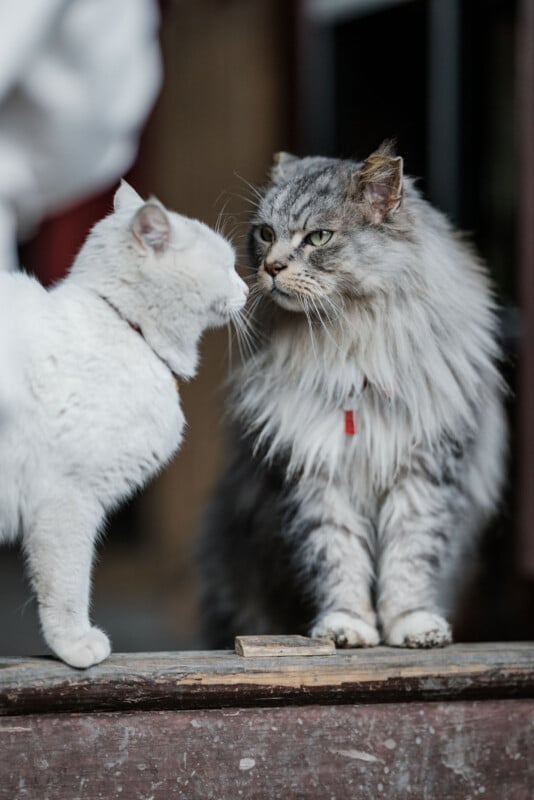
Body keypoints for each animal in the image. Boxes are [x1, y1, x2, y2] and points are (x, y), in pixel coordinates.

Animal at [0, 181, 247, 668]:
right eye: (228, 265)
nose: (248, 286)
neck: (125, 327)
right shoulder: (67, 501)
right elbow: (68, 586)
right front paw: (76, 645)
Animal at [199, 142, 508, 644]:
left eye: (319, 238)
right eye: (265, 234)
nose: (271, 267)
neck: (351, 355)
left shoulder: (424, 472)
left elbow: (409, 559)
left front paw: (412, 625)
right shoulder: (316, 474)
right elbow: (337, 560)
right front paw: (346, 627)